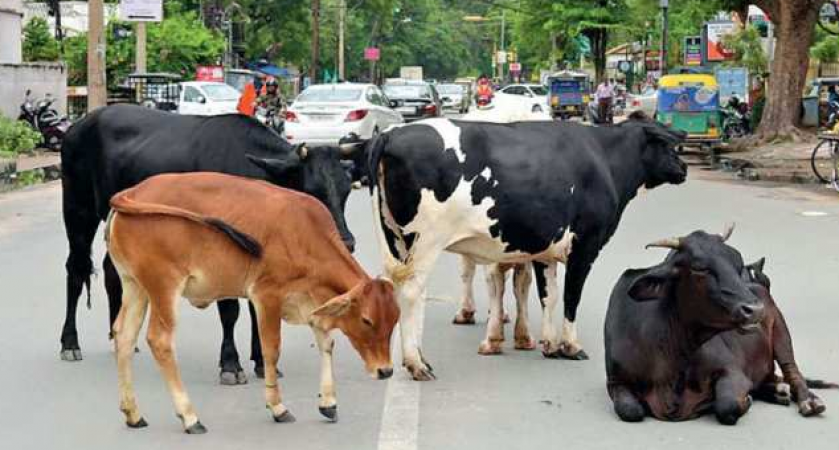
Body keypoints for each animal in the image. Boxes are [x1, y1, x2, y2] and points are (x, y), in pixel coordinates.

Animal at [59, 104, 360, 384]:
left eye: (346, 190)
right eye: (311, 191)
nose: (345, 241)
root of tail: (81, 123)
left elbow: (256, 307)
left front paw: (262, 362)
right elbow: (230, 310)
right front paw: (231, 364)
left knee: (112, 272)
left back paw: (120, 337)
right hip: (78, 210)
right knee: (76, 268)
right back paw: (70, 343)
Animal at [106, 171, 402, 432]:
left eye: (395, 320)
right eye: (367, 320)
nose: (386, 371)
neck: (305, 234)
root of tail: (133, 192)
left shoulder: (311, 303)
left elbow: (326, 344)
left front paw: (328, 403)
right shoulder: (266, 295)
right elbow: (271, 350)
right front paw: (278, 407)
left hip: (135, 286)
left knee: (123, 335)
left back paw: (133, 414)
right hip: (163, 287)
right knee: (160, 340)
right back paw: (190, 417)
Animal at [604, 229, 832, 426]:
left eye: (738, 263)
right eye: (699, 268)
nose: (755, 309)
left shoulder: (732, 371)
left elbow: (727, 405)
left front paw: (745, 401)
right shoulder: (615, 381)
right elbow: (630, 410)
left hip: (781, 332)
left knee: (792, 371)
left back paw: (809, 401)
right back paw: (778, 390)